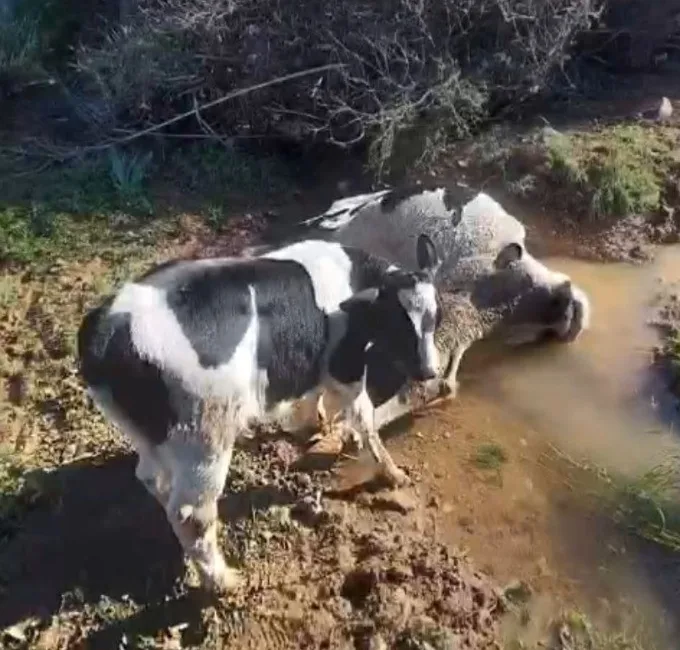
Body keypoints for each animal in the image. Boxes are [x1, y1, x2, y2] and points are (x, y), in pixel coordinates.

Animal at [77, 234, 444, 592]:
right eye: (397, 322)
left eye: (435, 318)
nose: (429, 371)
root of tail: (107, 328)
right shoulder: (345, 365)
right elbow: (364, 416)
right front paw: (393, 473)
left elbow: (314, 396)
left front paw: (316, 425)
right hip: (205, 431)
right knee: (191, 513)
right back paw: (223, 582)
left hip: (149, 433)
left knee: (151, 478)